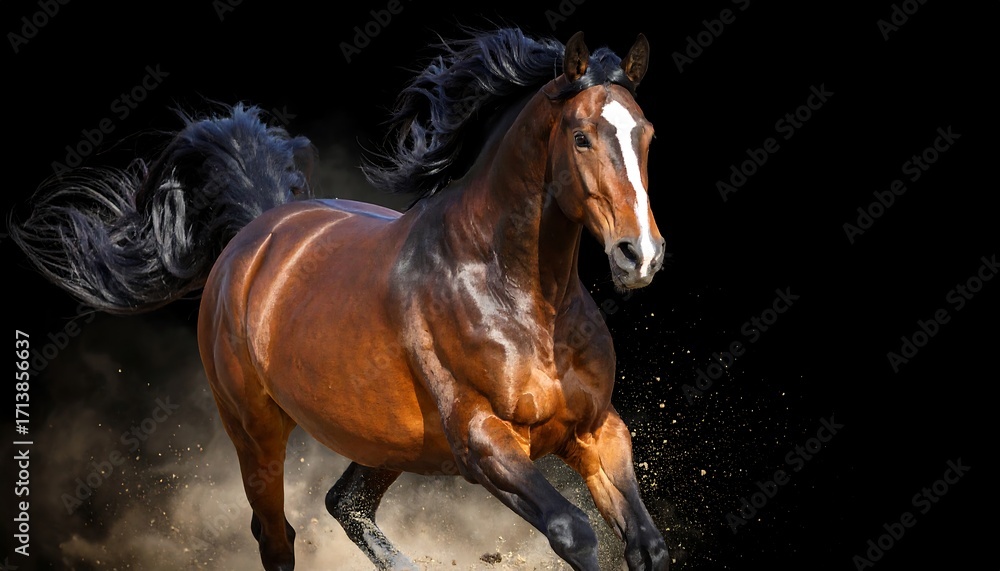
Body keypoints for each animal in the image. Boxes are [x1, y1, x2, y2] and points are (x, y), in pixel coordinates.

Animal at [11, 28, 670, 571]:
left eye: (646, 133)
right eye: (581, 138)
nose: (640, 255)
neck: (520, 296)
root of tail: (258, 229)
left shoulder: (596, 430)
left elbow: (647, 545)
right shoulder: (482, 438)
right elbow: (572, 530)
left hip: (389, 441)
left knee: (343, 503)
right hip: (254, 430)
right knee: (276, 536)